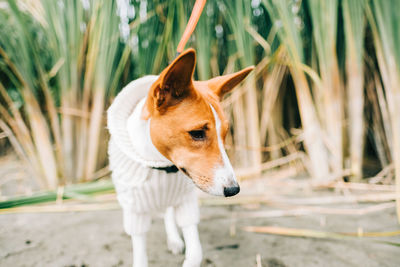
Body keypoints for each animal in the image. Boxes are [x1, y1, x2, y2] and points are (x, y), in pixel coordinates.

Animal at [107, 48, 253, 267]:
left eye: (225, 133)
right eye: (197, 133)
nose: (233, 190)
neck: (159, 165)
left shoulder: (186, 203)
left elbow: (195, 253)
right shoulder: (135, 209)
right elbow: (140, 251)